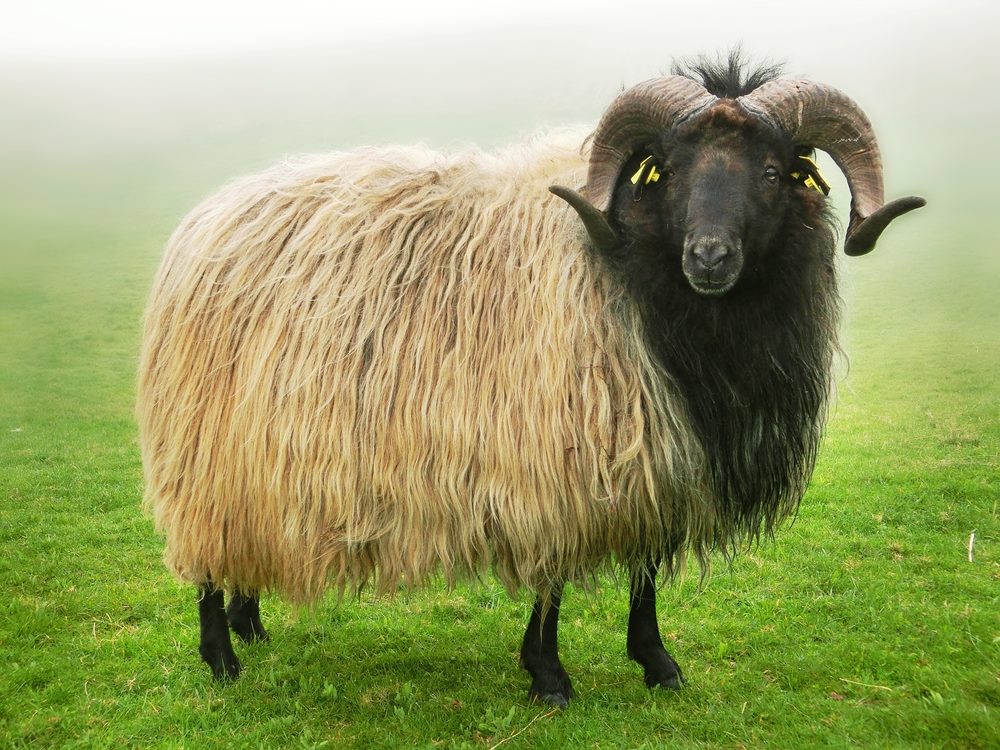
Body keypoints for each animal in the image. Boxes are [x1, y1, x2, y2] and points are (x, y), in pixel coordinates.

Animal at [137, 55, 924, 708]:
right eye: (668, 169)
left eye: (772, 170)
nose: (708, 257)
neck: (633, 273)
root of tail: (209, 216)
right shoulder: (555, 455)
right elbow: (551, 582)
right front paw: (548, 675)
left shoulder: (656, 453)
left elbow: (645, 568)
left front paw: (656, 662)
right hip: (206, 450)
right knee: (203, 560)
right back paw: (221, 657)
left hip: (256, 462)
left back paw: (249, 622)